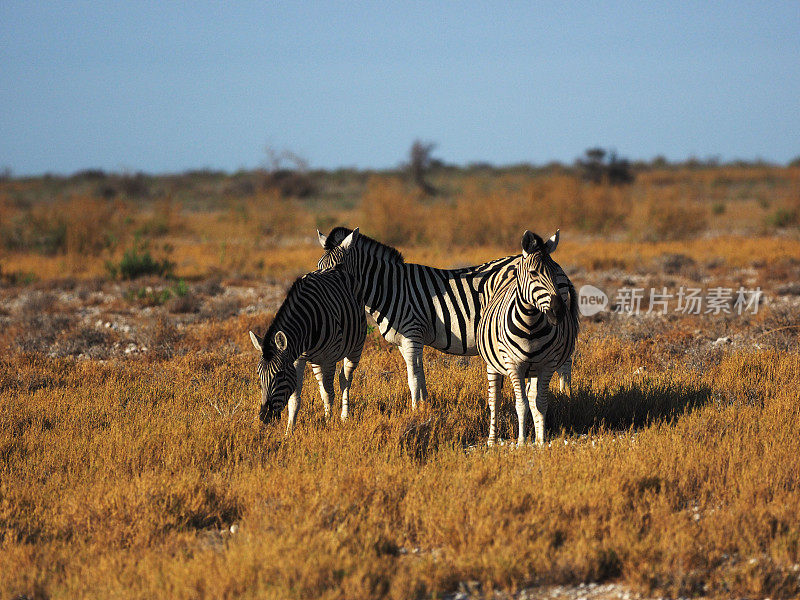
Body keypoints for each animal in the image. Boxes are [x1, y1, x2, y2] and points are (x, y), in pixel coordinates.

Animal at [247, 234, 366, 432]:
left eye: (279, 374)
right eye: (259, 375)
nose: (264, 418)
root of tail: (336, 268)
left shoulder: (329, 357)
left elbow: (330, 392)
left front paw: (329, 424)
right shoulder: (297, 359)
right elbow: (295, 399)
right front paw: (289, 431)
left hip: (355, 348)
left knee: (345, 380)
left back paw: (344, 416)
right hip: (316, 362)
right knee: (325, 386)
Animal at [316, 225, 572, 408]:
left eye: (339, 267)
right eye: (319, 266)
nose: (324, 291)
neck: (390, 287)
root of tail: (560, 268)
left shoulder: (412, 334)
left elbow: (412, 377)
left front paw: (416, 410)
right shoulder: (404, 341)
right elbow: (419, 374)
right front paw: (424, 405)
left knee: (565, 364)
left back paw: (565, 398)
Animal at [478, 230, 580, 446]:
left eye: (556, 273)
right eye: (534, 273)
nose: (558, 312)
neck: (530, 323)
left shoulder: (547, 364)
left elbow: (539, 402)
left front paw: (540, 441)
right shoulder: (514, 364)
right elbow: (521, 404)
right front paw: (522, 442)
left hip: (534, 368)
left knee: (532, 397)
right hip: (493, 363)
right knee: (494, 399)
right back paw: (492, 440)